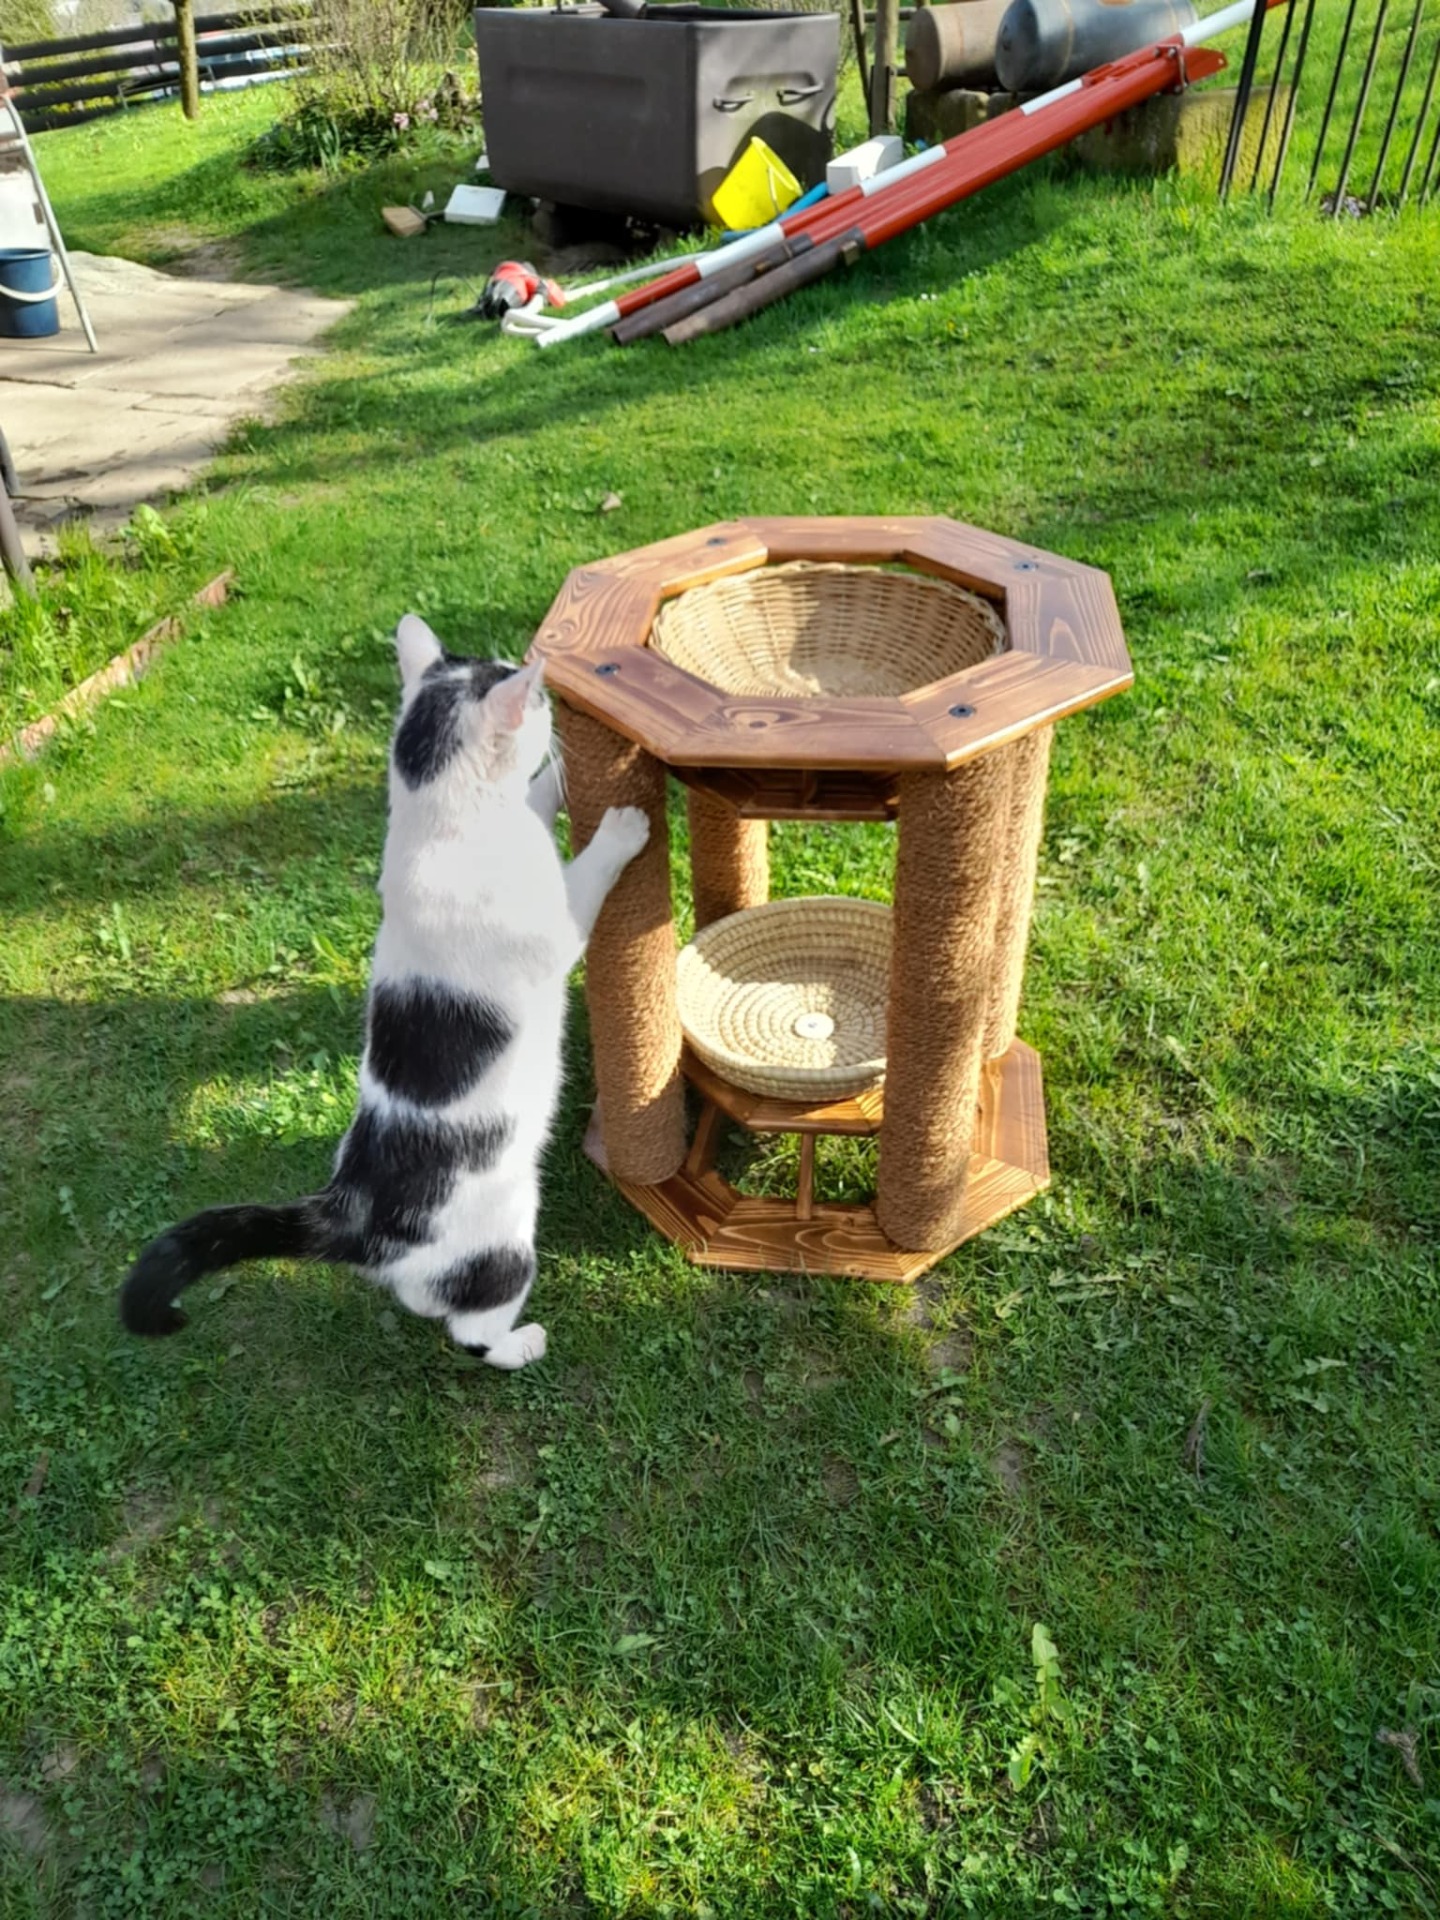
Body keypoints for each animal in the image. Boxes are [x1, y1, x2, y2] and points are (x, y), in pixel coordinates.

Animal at [119, 614, 650, 1369]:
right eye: (538, 700)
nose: (550, 704)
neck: (445, 823)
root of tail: (351, 1209)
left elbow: (532, 796)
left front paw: (556, 782)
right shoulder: (560, 924)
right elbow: (589, 876)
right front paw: (621, 826)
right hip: (507, 1240)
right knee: (470, 1329)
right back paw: (522, 1344)